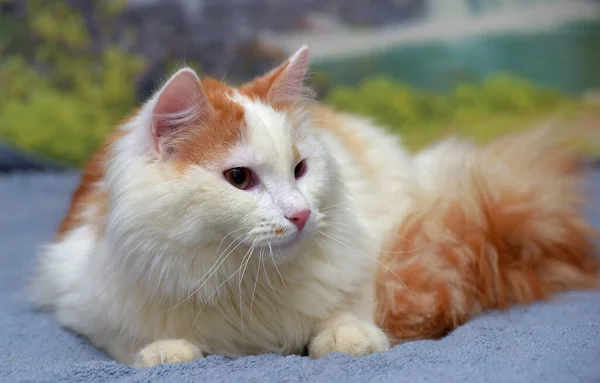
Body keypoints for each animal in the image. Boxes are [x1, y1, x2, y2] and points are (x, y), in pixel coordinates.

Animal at [30, 46, 412, 368]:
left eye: (300, 169)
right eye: (239, 178)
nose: (301, 214)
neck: (244, 279)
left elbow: (348, 305)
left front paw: (346, 334)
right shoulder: (80, 292)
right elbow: (124, 337)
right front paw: (164, 349)